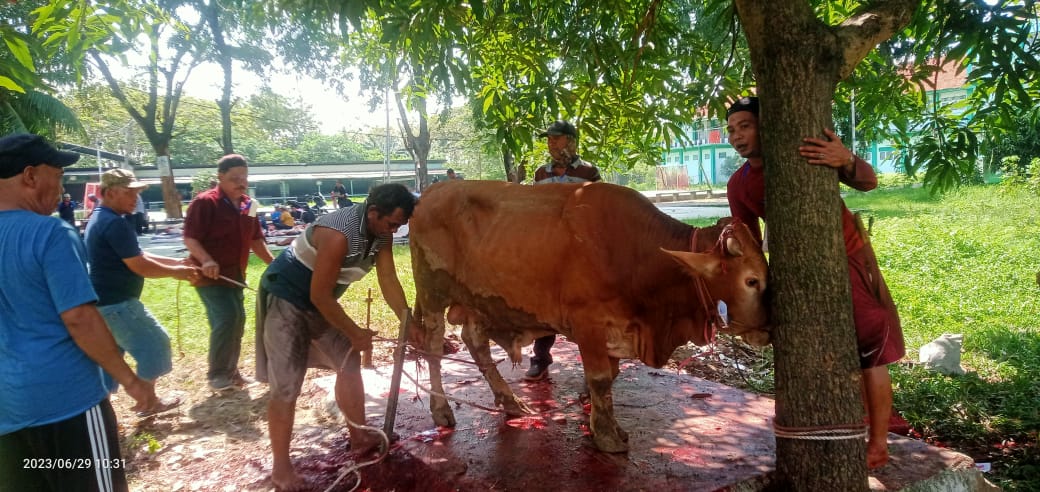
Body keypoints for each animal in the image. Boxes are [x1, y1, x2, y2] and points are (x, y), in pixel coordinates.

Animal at [408, 180, 769, 453]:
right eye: (751, 281)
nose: (767, 330)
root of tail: (430, 192)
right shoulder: (588, 323)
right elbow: (599, 378)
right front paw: (607, 436)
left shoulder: (617, 328)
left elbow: (610, 376)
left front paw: (604, 425)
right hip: (431, 293)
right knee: (433, 348)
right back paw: (441, 409)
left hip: (476, 301)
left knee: (475, 342)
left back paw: (509, 401)